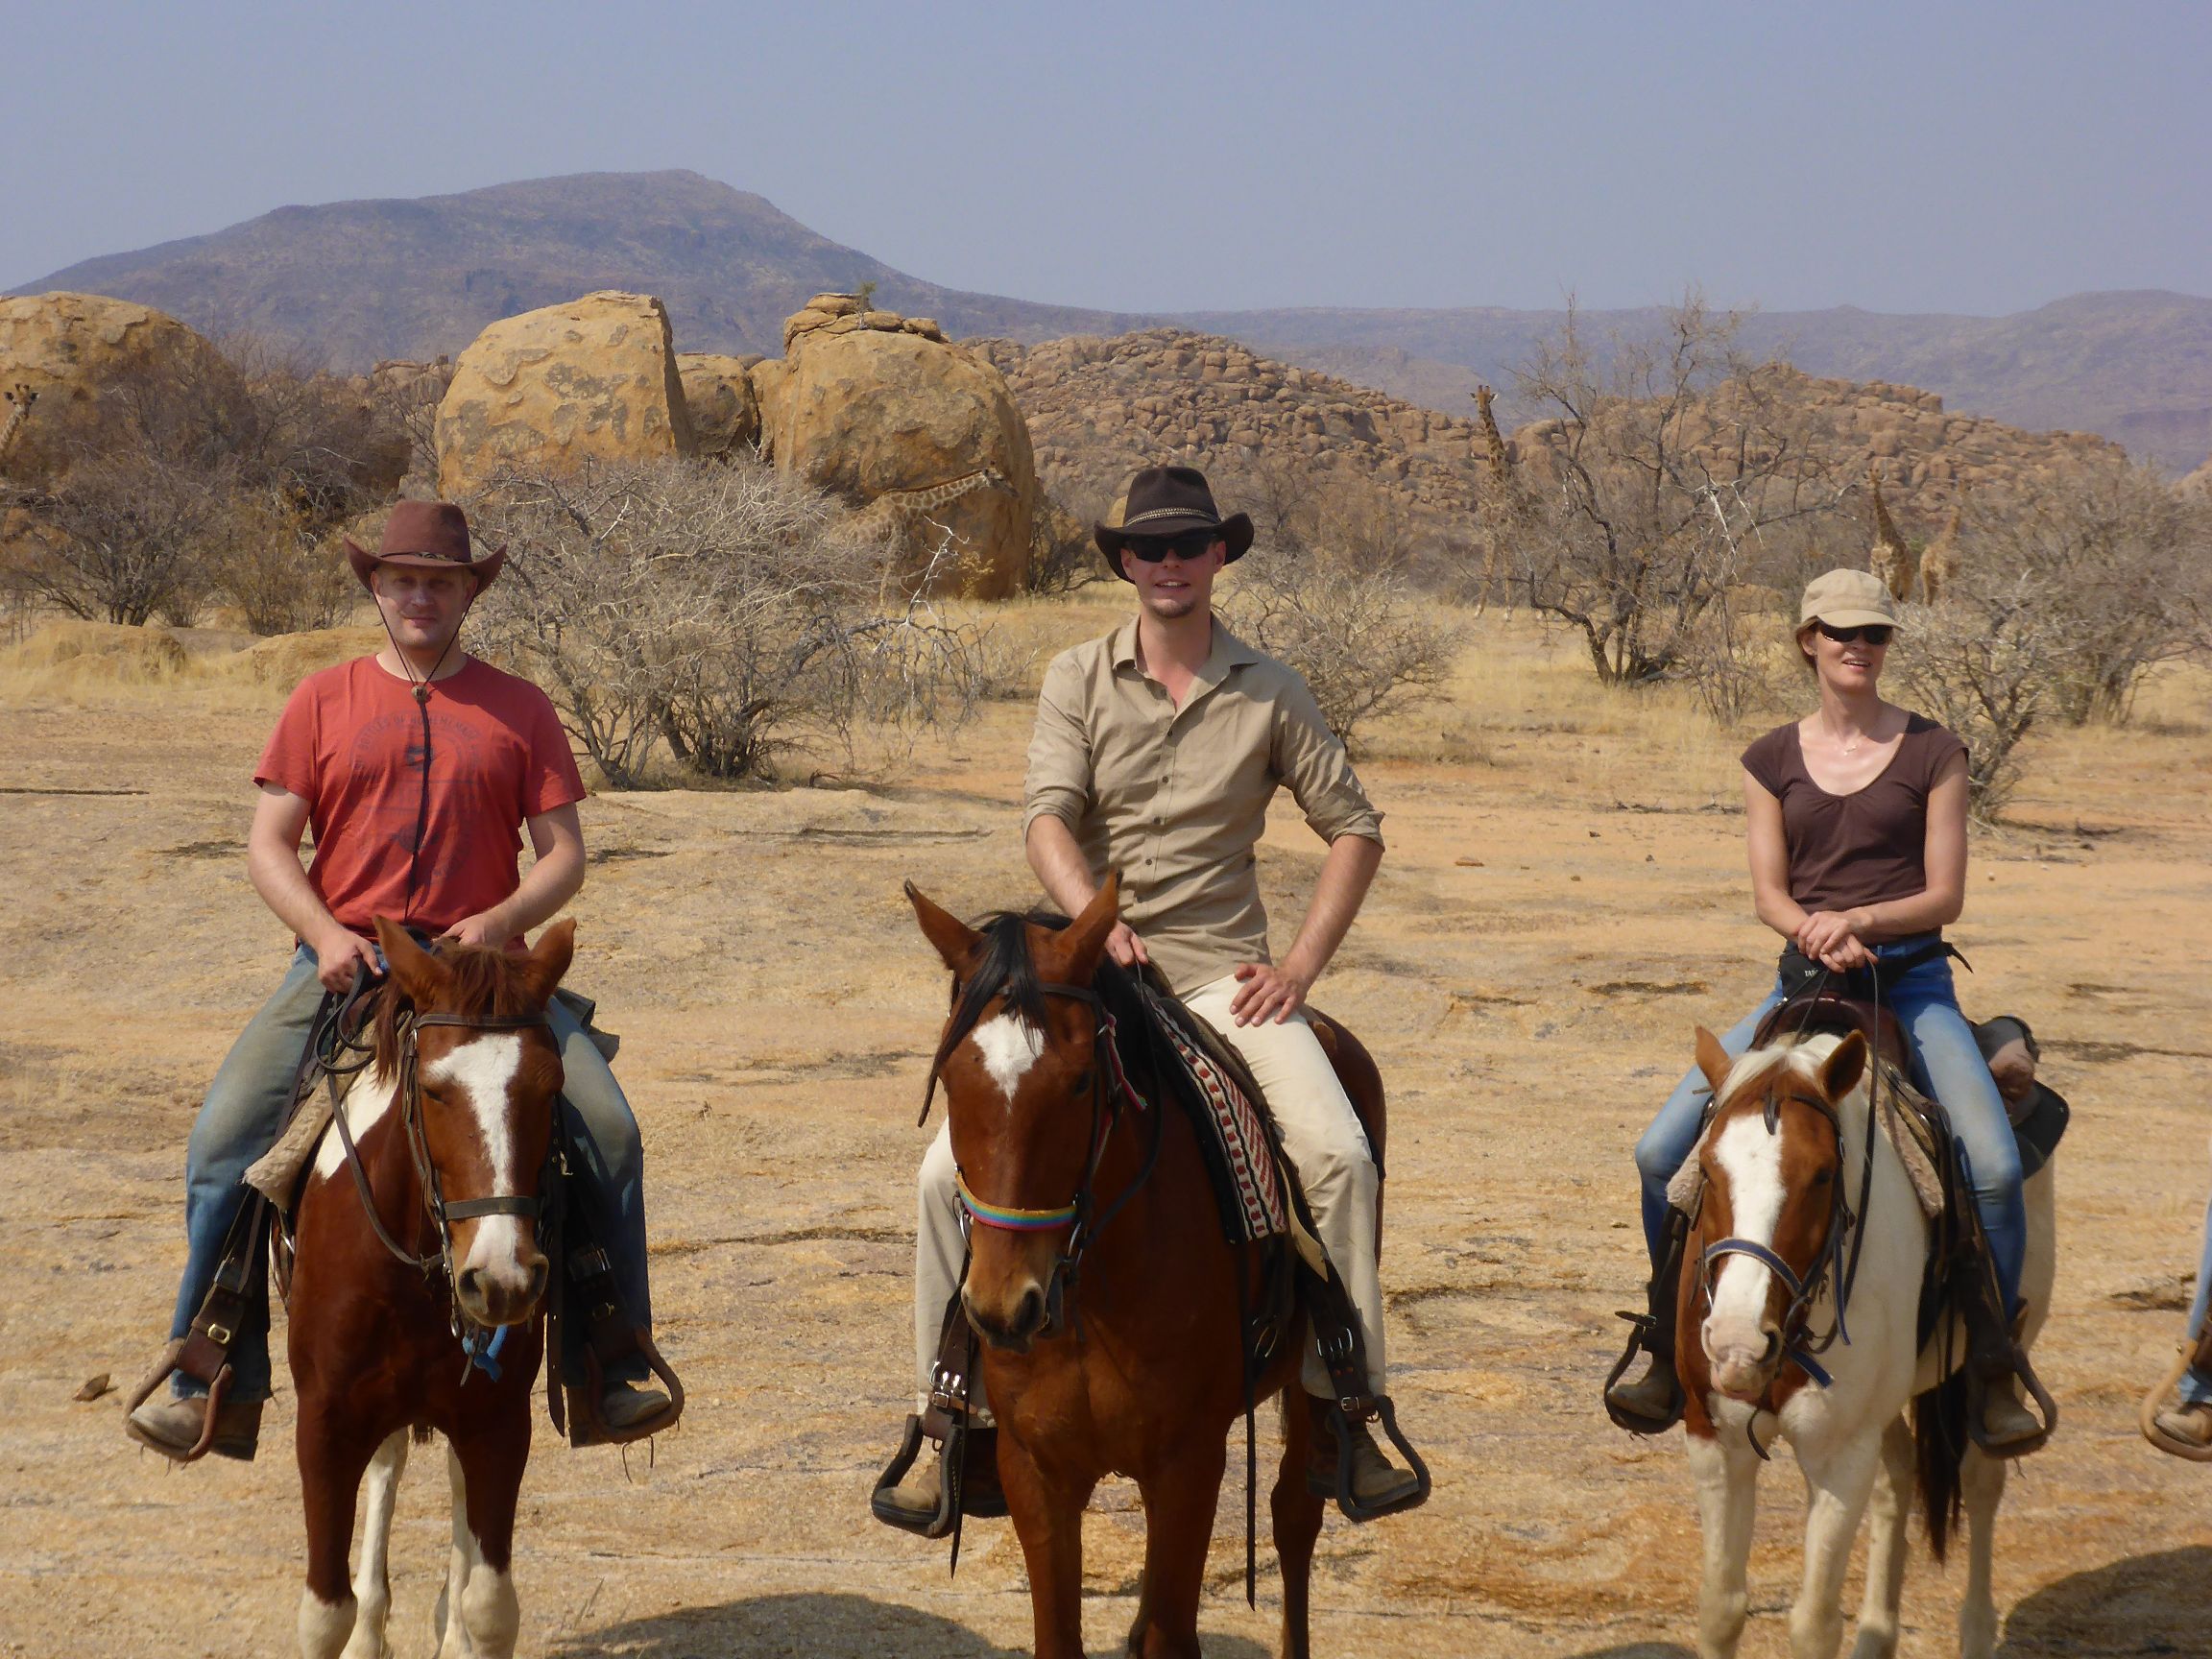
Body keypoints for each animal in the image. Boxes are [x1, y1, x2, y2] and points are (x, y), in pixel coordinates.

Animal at [285, 925, 575, 1659]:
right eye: (435, 1090)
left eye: (550, 1087)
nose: (500, 1277)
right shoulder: (325, 1421)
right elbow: (323, 1615)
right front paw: (359, 1625)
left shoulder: (499, 1420)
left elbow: (491, 1605)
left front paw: (462, 1624)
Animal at [902, 876, 1380, 1654]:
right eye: (949, 1076)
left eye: (1078, 1082)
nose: (1005, 1307)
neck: (1094, 1294)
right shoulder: (1035, 1471)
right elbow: (1066, 1635)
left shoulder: (1188, 1464)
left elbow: (1170, 1632)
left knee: (1294, 1513)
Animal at [1671, 1026, 2053, 1659]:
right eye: (1705, 1167)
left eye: (1823, 1174)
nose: (1736, 1345)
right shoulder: (1716, 1441)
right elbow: (1720, 1609)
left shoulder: (1841, 1454)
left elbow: (1815, 1625)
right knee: (1897, 1477)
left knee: (1981, 1480)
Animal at [1866, 464, 1919, 606]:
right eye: (1868, 481)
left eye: (1878, 482)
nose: (1873, 491)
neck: (1883, 537)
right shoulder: (1875, 569)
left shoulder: (1890, 570)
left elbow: (1892, 598)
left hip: (1907, 575)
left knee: (1904, 598)